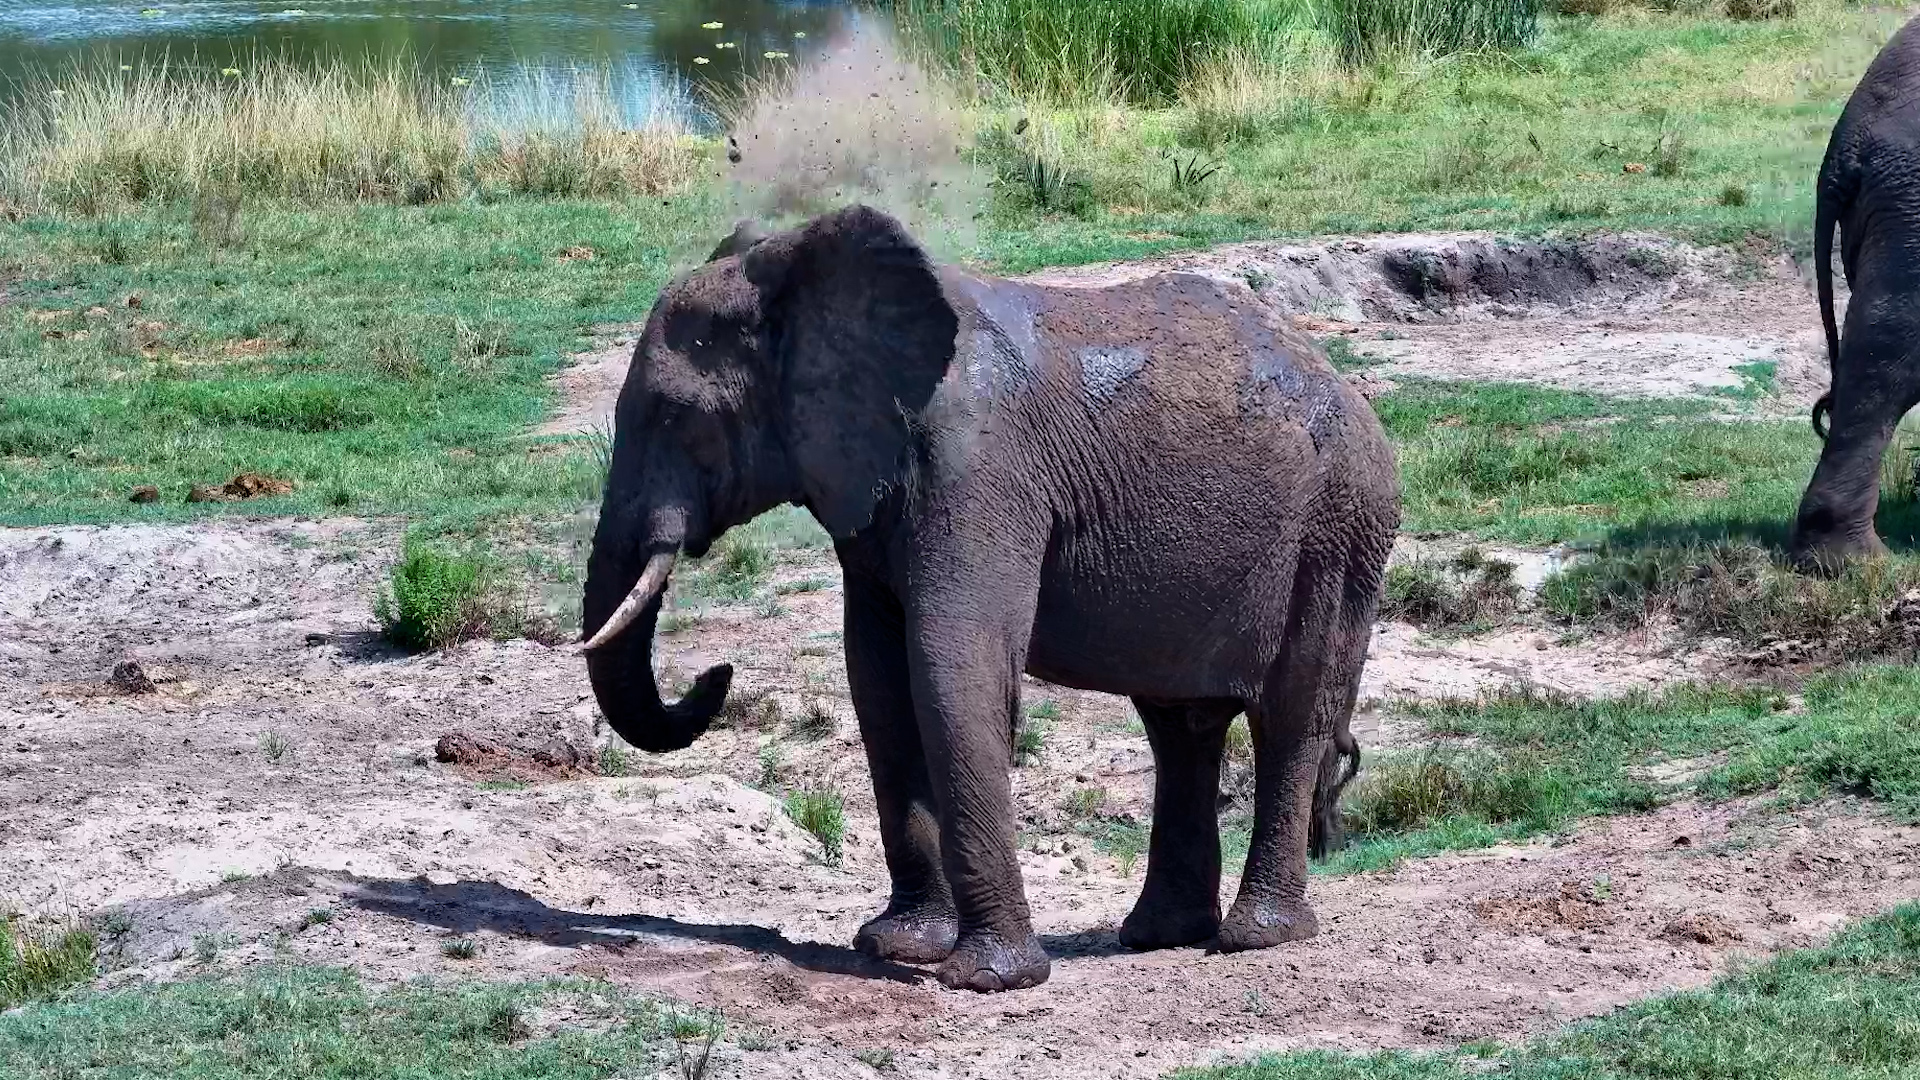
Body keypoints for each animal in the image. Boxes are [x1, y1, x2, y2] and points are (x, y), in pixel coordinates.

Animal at [580, 205, 1400, 992]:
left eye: (674, 415)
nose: (712, 675)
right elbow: (878, 684)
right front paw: (899, 946)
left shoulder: (981, 472)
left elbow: (954, 675)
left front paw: (987, 979)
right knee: (1180, 725)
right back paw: (1161, 935)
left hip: (1338, 532)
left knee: (1291, 716)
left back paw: (1257, 937)